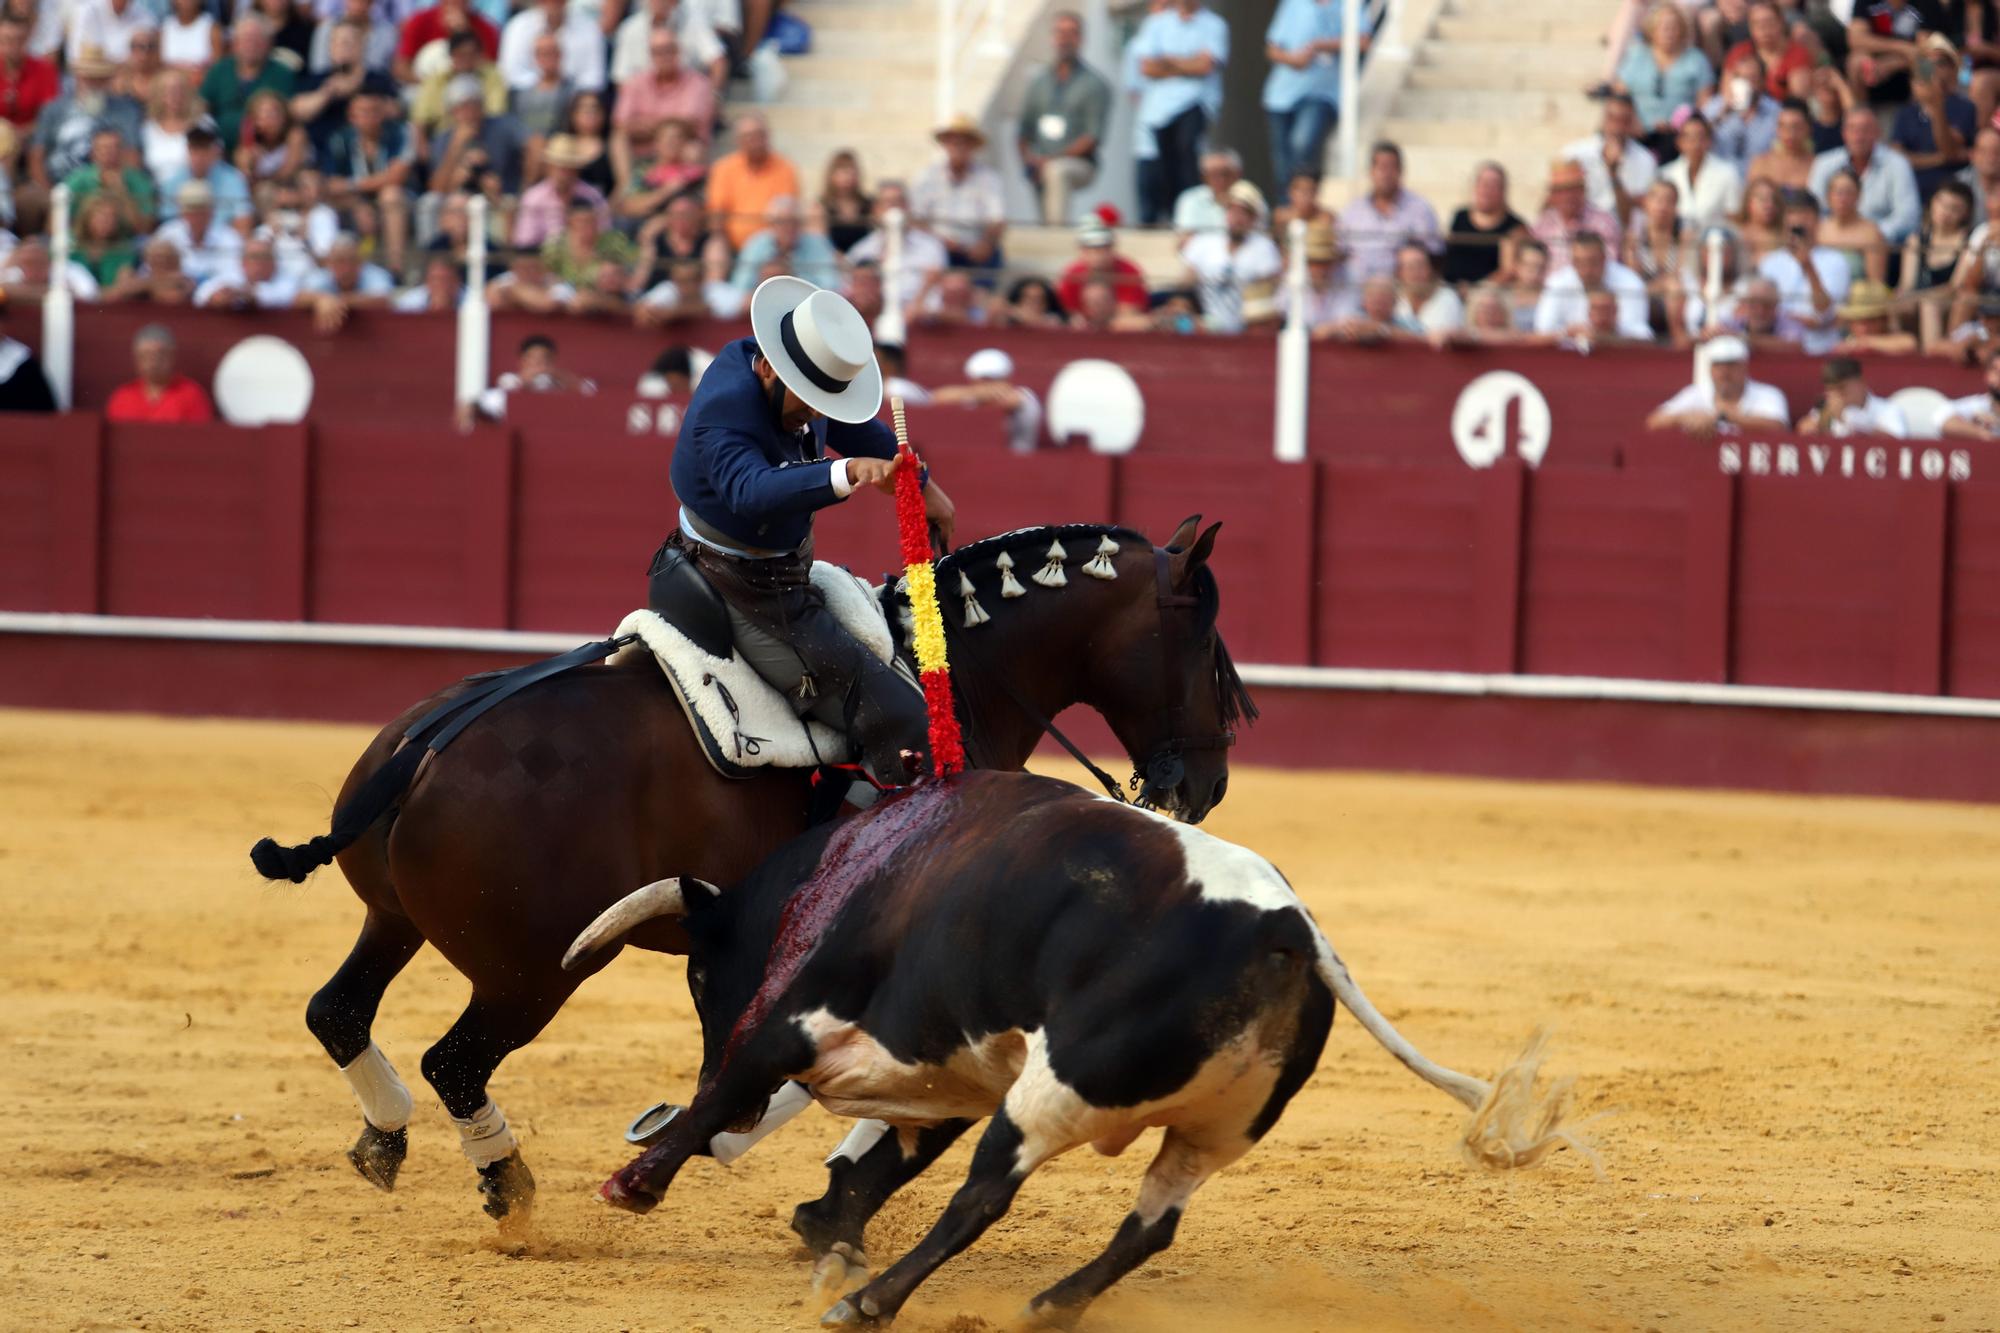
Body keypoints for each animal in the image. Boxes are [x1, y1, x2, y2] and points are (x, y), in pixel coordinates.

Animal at [250, 512, 1248, 1216]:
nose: (1206, 784)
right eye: (1203, 642)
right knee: (454, 1060)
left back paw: (385, 1141)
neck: (955, 674)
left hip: (397, 921)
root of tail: (427, 744)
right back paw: (509, 1187)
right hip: (531, 973)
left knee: (336, 1010)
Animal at [564, 764, 1576, 1320]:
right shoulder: (950, 1065)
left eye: (700, 978)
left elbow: (725, 1088)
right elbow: (886, 1155)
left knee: (983, 1197)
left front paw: (635, 1182)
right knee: (1150, 1224)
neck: (844, 869)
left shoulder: (800, 1019)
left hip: (1052, 1094)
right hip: (1214, 1127)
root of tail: (1286, 925)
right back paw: (1044, 1307)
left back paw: (870, 1303)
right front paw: (827, 1229)